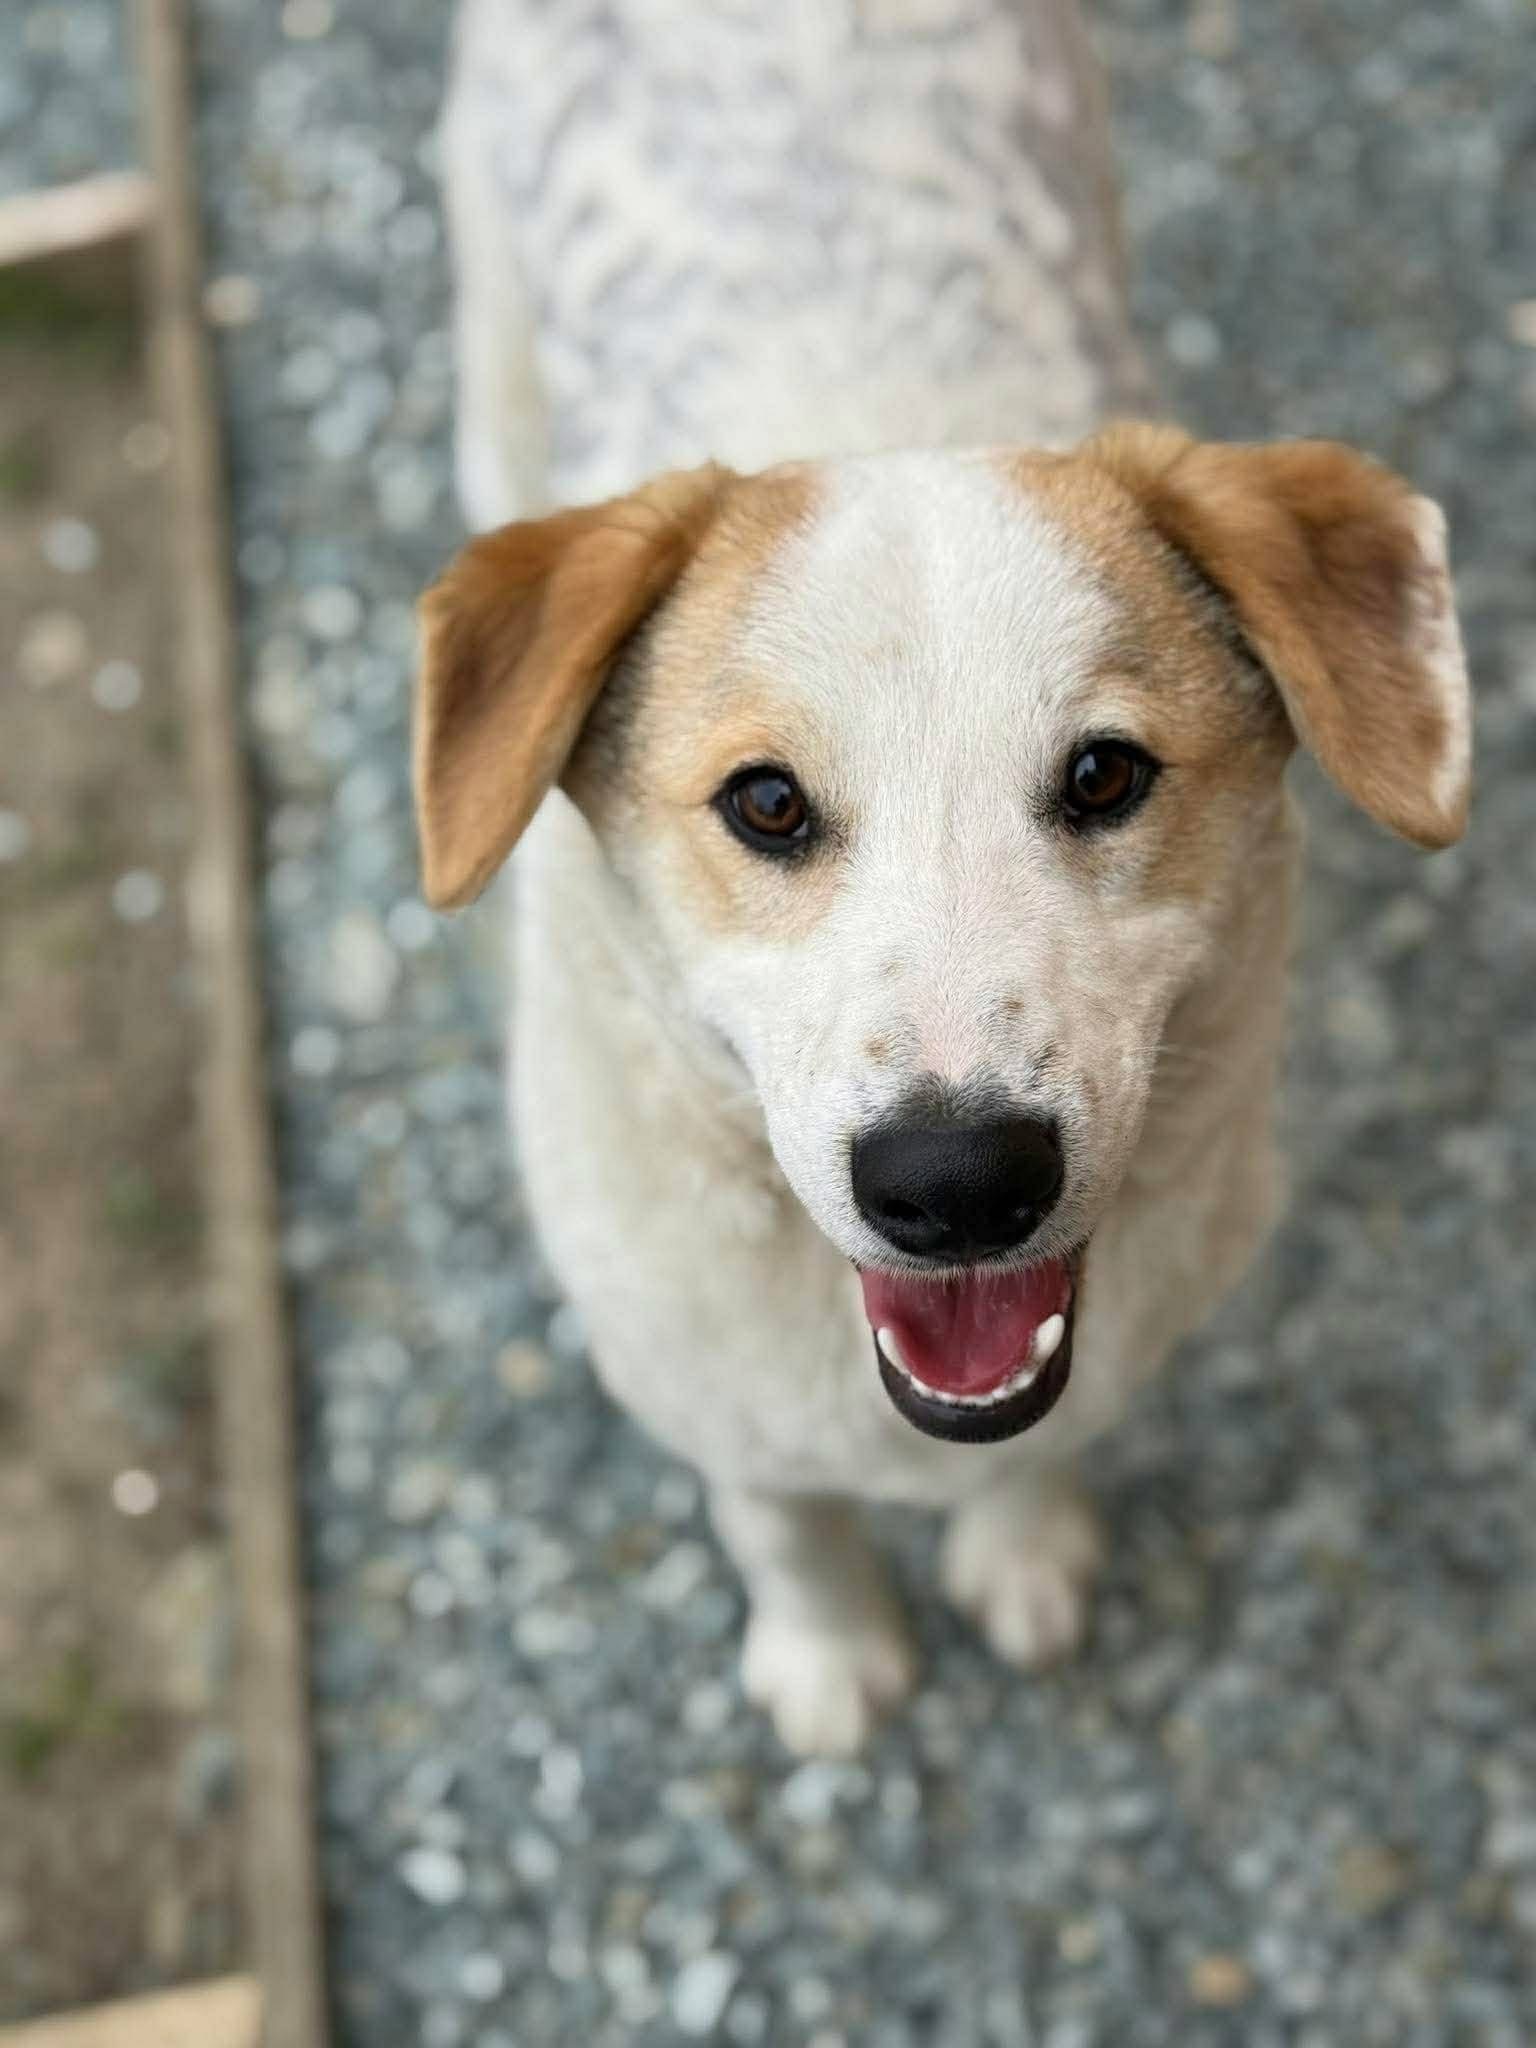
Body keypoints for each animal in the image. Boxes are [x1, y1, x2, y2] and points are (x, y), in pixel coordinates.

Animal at [417, 0, 1472, 1756]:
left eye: (1105, 774)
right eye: (766, 802)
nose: (959, 1180)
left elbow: (1044, 1448)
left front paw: (1023, 1557)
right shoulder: (697, 1373)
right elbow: (781, 1520)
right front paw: (831, 1658)